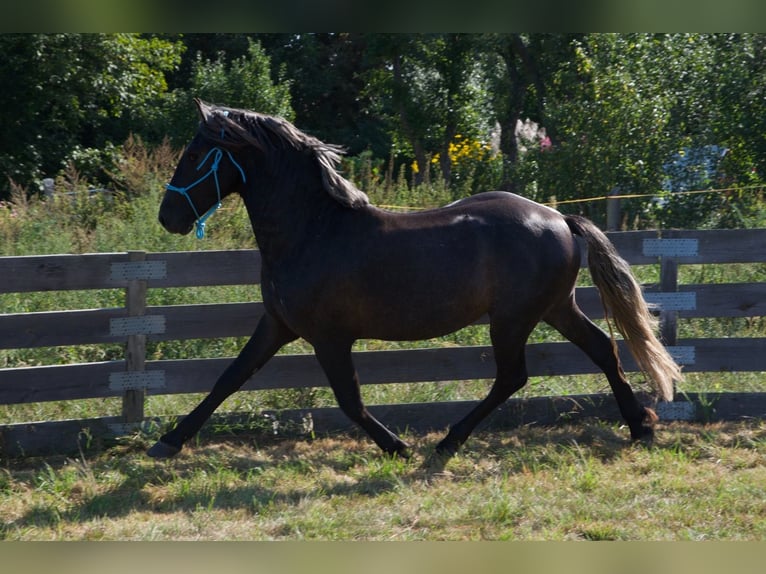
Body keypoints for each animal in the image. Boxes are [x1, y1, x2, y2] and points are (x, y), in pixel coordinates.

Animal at [148, 97, 684, 462]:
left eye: (194, 155)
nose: (167, 217)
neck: (311, 232)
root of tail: (559, 219)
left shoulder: (328, 337)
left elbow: (349, 400)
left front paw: (397, 446)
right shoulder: (277, 325)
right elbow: (229, 378)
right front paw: (167, 442)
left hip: (513, 319)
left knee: (513, 376)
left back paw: (448, 440)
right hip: (554, 308)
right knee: (602, 349)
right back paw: (640, 426)